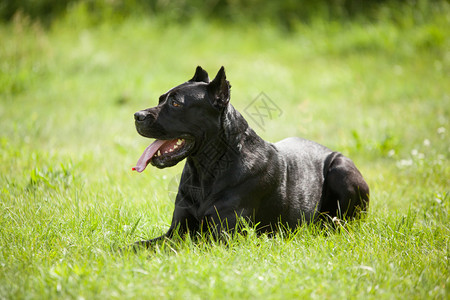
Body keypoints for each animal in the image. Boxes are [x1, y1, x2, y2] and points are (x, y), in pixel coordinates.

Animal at [131, 67, 370, 247]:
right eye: (161, 99)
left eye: (176, 103)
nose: (137, 116)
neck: (206, 169)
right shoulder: (177, 230)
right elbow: (137, 245)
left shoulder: (222, 236)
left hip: (341, 170)